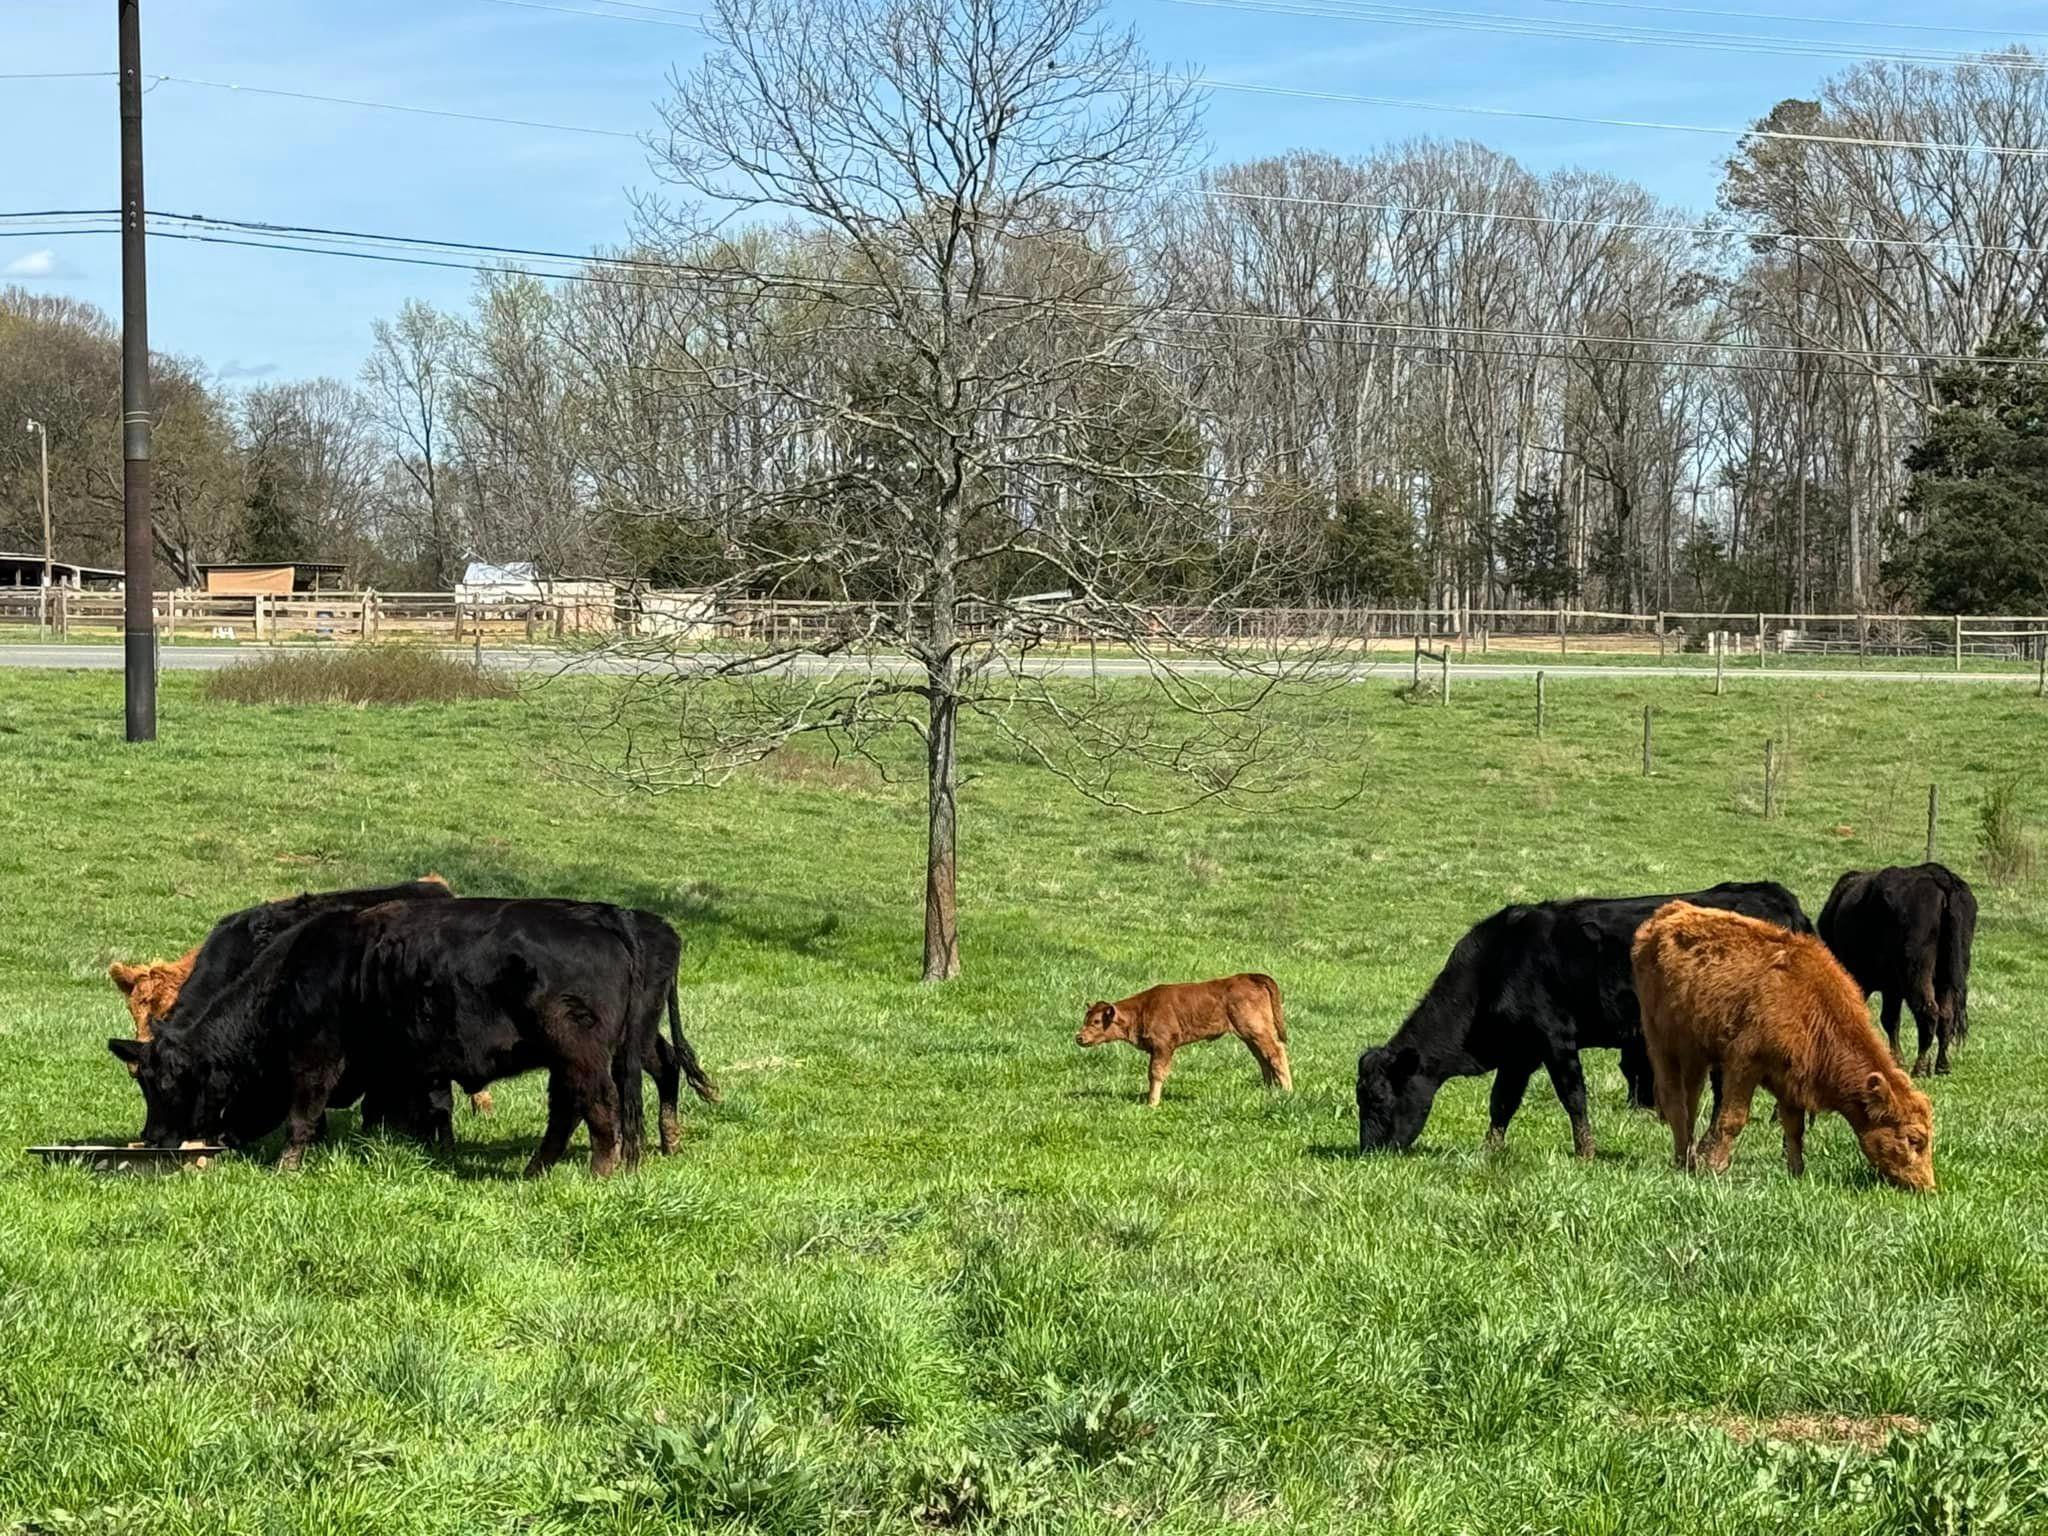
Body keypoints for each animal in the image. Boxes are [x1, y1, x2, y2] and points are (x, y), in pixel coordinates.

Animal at [110, 897, 714, 1177]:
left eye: (167, 1084)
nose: (153, 1140)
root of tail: (606, 917)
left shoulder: (316, 1057)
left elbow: (305, 1114)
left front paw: (287, 1166)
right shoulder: (400, 1067)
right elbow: (415, 1109)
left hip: (582, 1052)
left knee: (602, 1104)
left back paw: (601, 1170)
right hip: (585, 1054)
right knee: (576, 1106)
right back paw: (539, 1169)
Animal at [1076, 973, 1289, 1107]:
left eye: (1096, 1021)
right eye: (1086, 1018)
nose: (1079, 1037)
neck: (1143, 1009)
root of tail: (1249, 977)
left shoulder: (1163, 1045)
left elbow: (1156, 1073)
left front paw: (1152, 1103)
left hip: (1256, 1030)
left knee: (1276, 1052)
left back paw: (1287, 1090)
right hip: (1249, 1036)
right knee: (1263, 1057)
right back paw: (1269, 1089)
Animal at [1356, 881, 1811, 1158]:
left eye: (1377, 1099)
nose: (1368, 1150)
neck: (1496, 965)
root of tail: (1772, 894)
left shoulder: (1555, 1038)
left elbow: (1573, 1096)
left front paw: (1585, 1151)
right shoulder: (1520, 1053)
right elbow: (1502, 1101)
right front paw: (1490, 1150)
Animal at [1632, 901, 1935, 1191]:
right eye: (1914, 1139)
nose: (1927, 1186)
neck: (1810, 1003)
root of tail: (1667, 914)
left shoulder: (1791, 1079)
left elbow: (1794, 1128)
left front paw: (1797, 1172)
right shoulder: (1744, 1064)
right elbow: (1733, 1119)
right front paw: (1716, 1166)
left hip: (1696, 1053)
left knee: (1690, 1101)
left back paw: (1690, 1158)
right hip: (1663, 1044)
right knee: (1674, 1101)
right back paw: (1683, 1159)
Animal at [1818, 863, 1978, 1078]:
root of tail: (1939, 875)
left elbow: (1888, 1019)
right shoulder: (1891, 988)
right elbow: (1891, 1019)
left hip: (1916, 972)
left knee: (1928, 1013)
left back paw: (1920, 1067)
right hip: (1948, 975)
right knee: (1946, 1015)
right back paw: (1941, 1066)